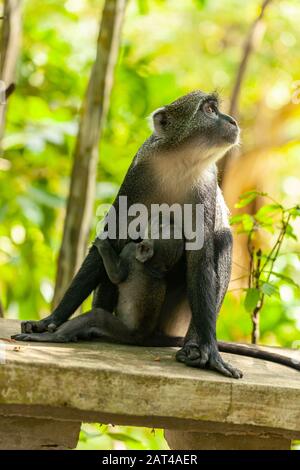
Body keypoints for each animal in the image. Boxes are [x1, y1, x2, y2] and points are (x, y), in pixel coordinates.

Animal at [14, 91, 244, 378]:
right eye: (210, 110)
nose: (232, 121)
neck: (181, 163)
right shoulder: (139, 173)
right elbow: (114, 235)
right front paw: (50, 320)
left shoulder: (206, 188)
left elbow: (200, 258)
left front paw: (209, 350)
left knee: (223, 239)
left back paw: (191, 346)